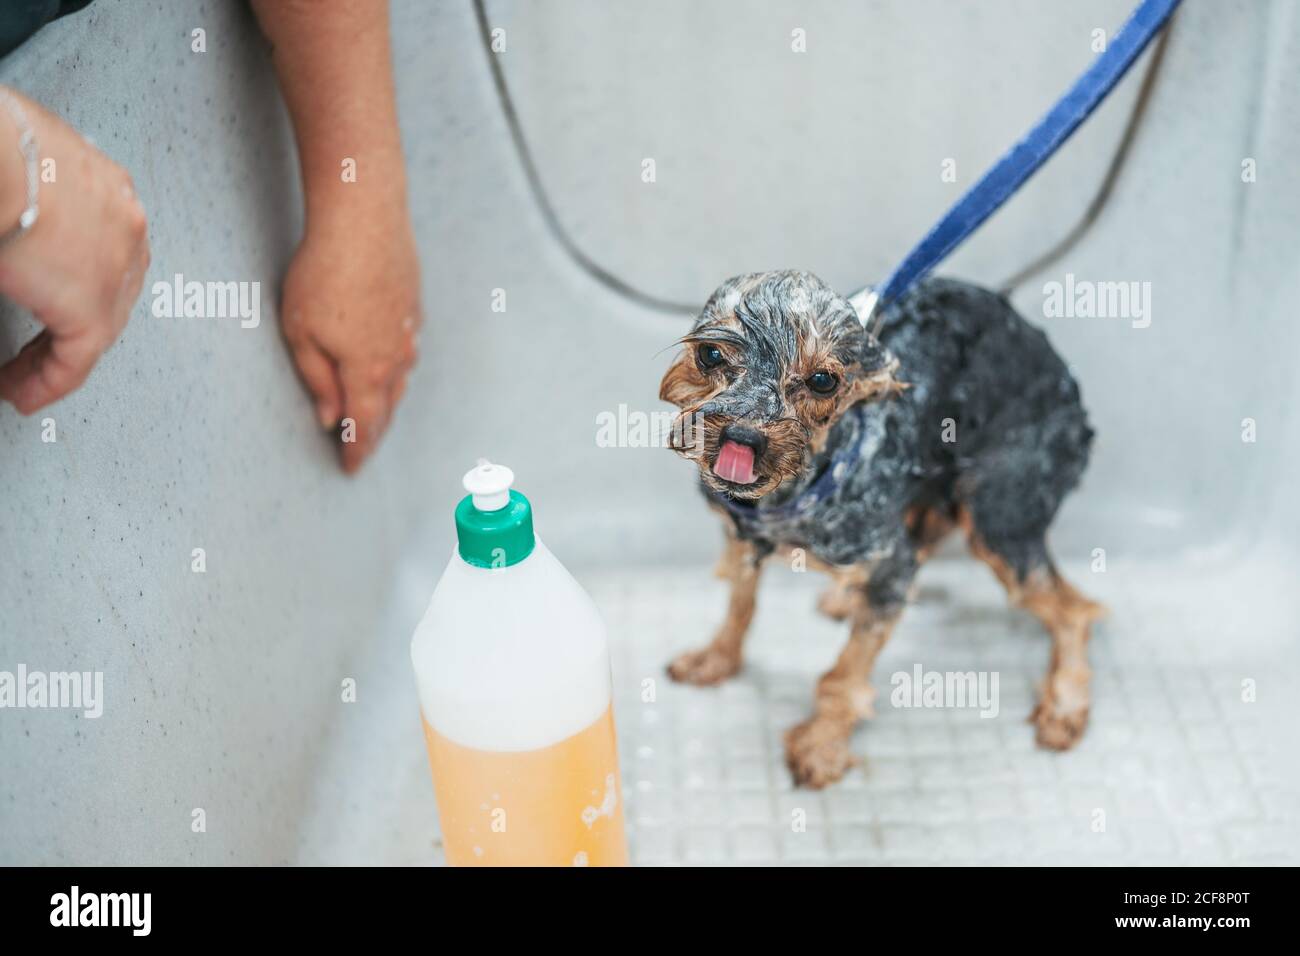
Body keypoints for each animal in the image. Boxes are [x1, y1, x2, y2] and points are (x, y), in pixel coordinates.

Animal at [665, 269, 1102, 785]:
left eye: (822, 381)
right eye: (710, 354)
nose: (744, 437)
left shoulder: (891, 569)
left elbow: (846, 673)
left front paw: (822, 745)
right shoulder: (742, 536)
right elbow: (740, 607)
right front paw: (717, 658)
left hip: (999, 515)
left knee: (1074, 612)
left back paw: (1065, 704)